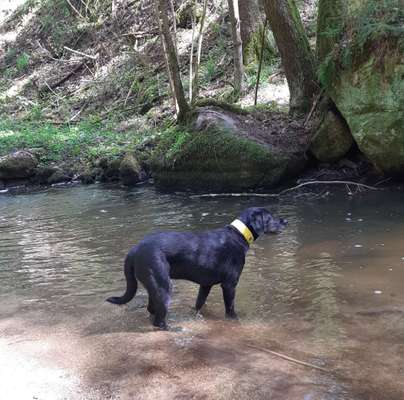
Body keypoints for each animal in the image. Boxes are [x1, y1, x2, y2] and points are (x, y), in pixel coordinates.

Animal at [105, 206, 286, 328]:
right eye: (270, 217)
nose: (286, 221)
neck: (238, 235)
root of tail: (134, 250)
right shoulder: (229, 284)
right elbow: (230, 308)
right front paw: (234, 320)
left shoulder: (205, 285)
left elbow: (199, 303)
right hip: (163, 285)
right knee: (158, 321)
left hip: (154, 286)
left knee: (151, 309)